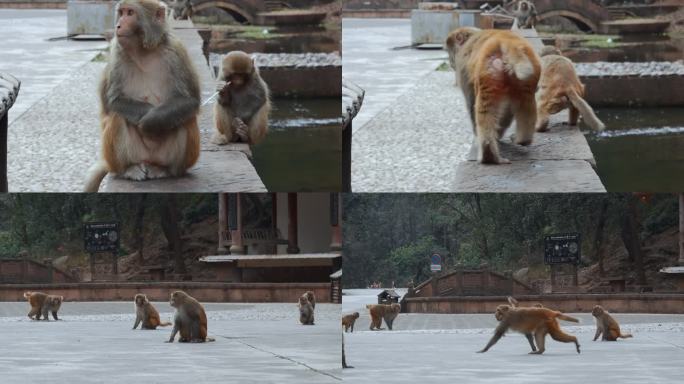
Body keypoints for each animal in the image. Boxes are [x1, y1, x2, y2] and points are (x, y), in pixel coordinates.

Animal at [83, 0, 200, 192]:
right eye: (121, 12)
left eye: (130, 13)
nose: (118, 25)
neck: (144, 51)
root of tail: (148, 160)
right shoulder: (117, 53)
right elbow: (114, 101)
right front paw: (147, 118)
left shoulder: (176, 52)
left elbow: (189, 100)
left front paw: (152, 122)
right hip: (126, 157)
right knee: (118, 117)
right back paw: (129, 169)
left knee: (183, 118)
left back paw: (164, 169)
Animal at [446, 26, 544, 165]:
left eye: (449, 50)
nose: (450, 61)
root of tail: (509, 42)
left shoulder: (462, 68)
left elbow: (471, 102)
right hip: (529, 77)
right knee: (525, 104)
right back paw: (522, 140)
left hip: (488, 72)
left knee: (485, 109)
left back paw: (489, 156)